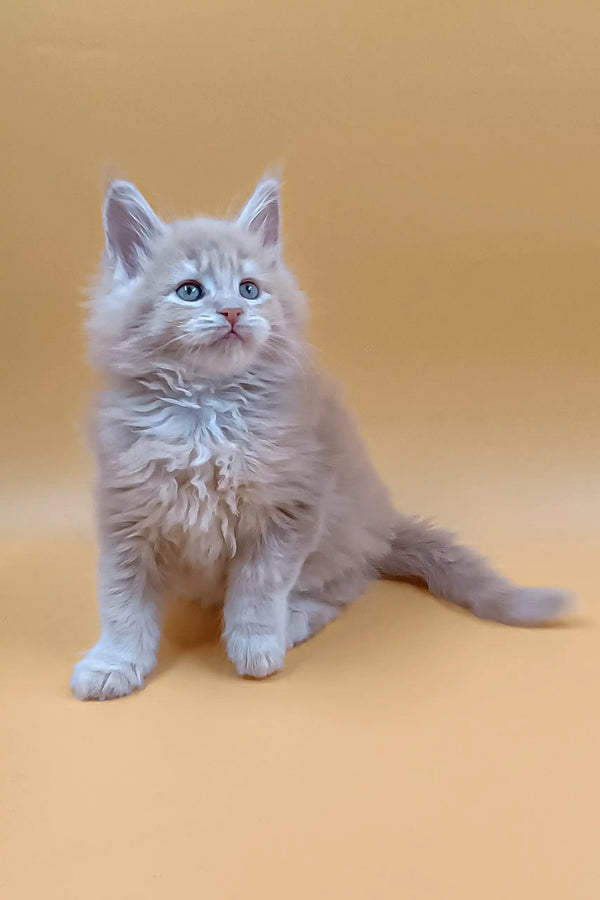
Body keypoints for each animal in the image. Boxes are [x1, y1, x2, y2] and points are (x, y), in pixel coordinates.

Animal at [70, 172, 572, 700]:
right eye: (190, 291)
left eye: (249, 289)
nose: (232, 312)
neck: (208, 415)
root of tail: (384, 524)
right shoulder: (126, 513)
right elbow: (122, 601)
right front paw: (113, 662)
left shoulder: (292, 508)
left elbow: (258, 588)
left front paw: (255, 646)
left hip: (338, 533)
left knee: (346, 586)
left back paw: (290, 622)